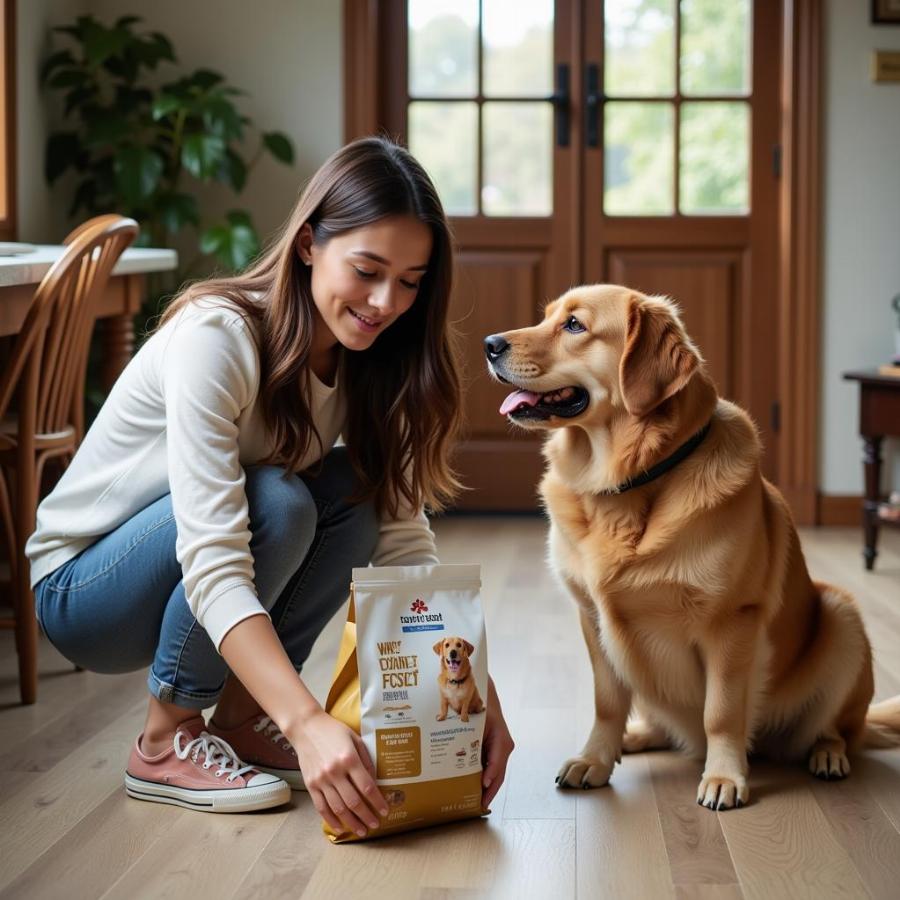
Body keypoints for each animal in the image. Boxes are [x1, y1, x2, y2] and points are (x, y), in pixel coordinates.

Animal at [486, 286, 900, 808]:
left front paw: (724, 777)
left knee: (838, 729)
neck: (631, 482)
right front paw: (595, 758)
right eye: (546, 318)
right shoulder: (592, 617)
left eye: (575, 325)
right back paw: (634, 736)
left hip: (841, 614)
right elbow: (607, 703)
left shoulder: (730, 622)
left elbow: (720, 712)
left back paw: (827, 755)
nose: (489, 344)